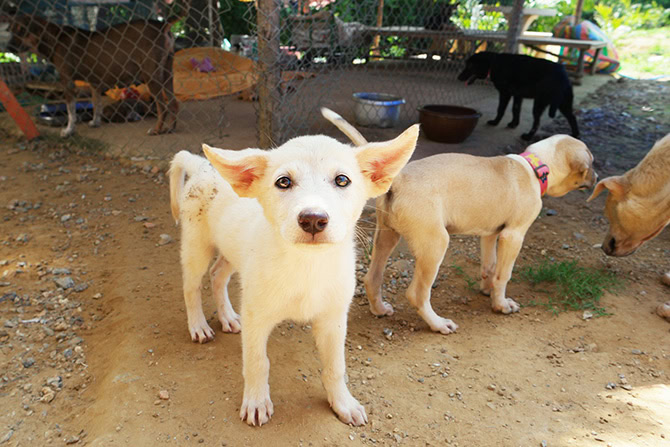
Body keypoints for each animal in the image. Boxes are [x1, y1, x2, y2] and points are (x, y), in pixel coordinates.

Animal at [169, 113, 420, 428]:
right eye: (284, 182)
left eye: (342, 180)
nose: (313, 219)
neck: (306, 267)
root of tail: (200, 164)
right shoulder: (256, 317)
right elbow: (257, 362)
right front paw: (256, 402)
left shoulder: (334, 319)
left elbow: (335, 366)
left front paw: (343, 403)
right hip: (196, 245)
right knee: (191, 287)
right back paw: (199, 326)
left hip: (232, 250)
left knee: (217, 275)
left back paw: (227, 317)